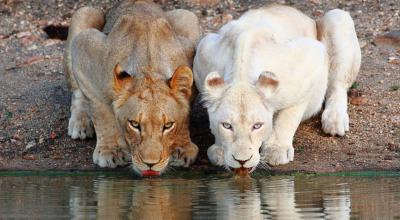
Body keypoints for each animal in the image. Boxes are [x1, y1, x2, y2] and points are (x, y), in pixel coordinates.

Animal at [194, 4, 362, 171]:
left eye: (257, 126)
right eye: (227, 125)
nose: (242, 161)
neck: (241, 72)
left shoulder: (312, 57)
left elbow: (288, 117)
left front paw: (276, 150)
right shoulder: (203, 51)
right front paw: (219, 151)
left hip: (337, 17)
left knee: (338, 85)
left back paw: (335, 120)